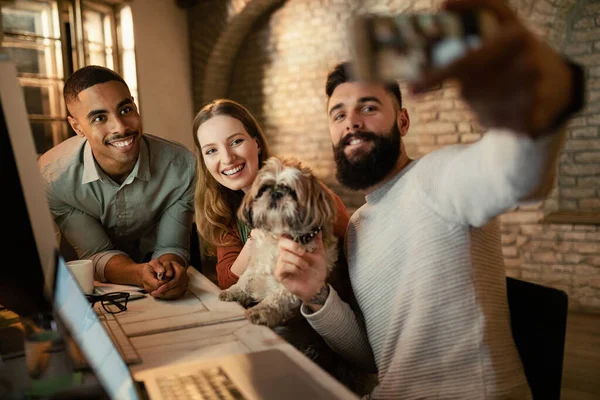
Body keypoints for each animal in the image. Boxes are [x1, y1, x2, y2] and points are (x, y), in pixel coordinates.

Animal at [217, 156, 338, 328]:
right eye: (264, 189)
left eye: (291, 191)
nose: (276, 193)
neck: (277, 237)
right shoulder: (255, 264)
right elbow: (245, 279)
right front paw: (233, 291)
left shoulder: (293, 279)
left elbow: (277, 298)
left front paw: (261, 311)